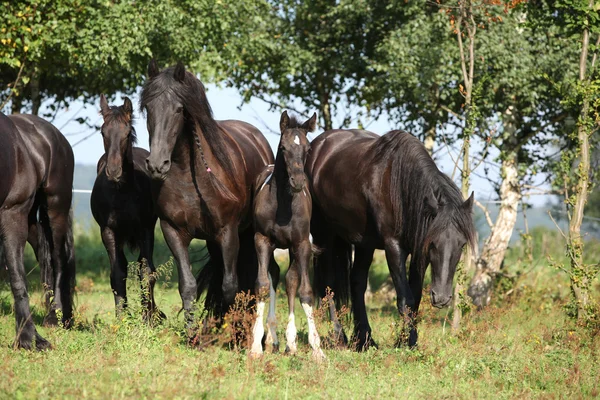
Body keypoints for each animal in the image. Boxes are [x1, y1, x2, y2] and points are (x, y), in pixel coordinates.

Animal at [0, 112, 75, 350]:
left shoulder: (12, 214)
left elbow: (17, 278)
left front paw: (29, 339)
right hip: (31, 222)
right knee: (46, 260)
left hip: (55, 208)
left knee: (58, 260)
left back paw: (55, 316)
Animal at [90, 96, 163, 322]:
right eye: (103, 132)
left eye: (127, 133)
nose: (114, 171)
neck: (122, 193)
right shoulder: (108, 231)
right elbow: (117, 273)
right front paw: (122, 318)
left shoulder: (146, 229)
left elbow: (147, 271)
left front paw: (149, 317)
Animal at [141, 61, 274, 326]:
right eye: (149, 107)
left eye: (179, 109)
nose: (157, 165)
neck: (189, 178)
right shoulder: (173, 231)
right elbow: (188, 285)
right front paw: (193, 329)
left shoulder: (228, 233)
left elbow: (230, 286)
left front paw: (225, 327)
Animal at [248, 111, 324, 360]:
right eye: (283, 147)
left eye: (308, 148)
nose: (298, 182)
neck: (282, 205)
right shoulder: (261, 240)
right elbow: (263, 285)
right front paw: (256, 346)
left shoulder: (301, 244)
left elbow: (305, 291)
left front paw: (317, 349)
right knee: (273, 274)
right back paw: (272, 338)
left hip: (291, 247)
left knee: (290, 280)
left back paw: (290, 342)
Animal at [308, 129, 476, 350]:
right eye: (433, 243)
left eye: (462, 244)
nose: (441, 298)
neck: (399, 187)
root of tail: (317, 146)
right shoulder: (394, 247)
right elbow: (405, 298)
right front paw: (409, 342)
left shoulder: (418, 251)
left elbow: (415, 297)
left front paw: (405, 340)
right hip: (324, 235)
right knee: (329, 285)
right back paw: (340, 337)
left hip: (364, 244)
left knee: (357, 283)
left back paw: (364, 339)